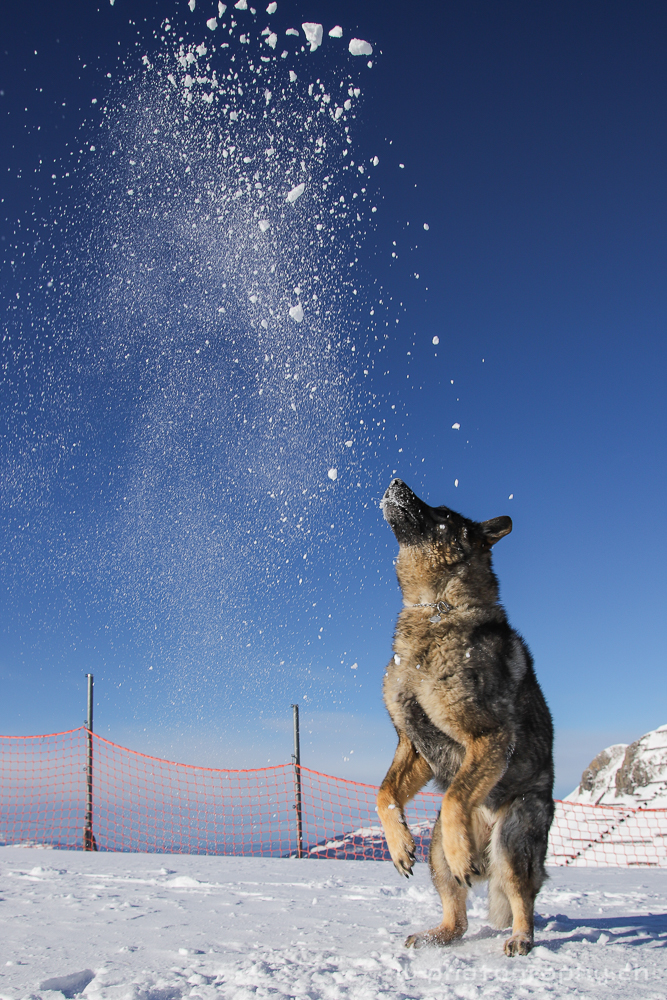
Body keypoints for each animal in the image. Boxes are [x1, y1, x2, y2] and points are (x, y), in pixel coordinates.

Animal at [378, 480, 556, 956]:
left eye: (442, 512)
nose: (396, 482)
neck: (436, 607)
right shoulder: (413, 744)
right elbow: (385, 794)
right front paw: (398, 844)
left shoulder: (488, 736)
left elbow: (456, 796)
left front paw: (464, 856)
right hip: (436, 846)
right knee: (456, 912)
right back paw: (436, 933)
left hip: (513, 840)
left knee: (520, 894)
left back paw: (520, 936)